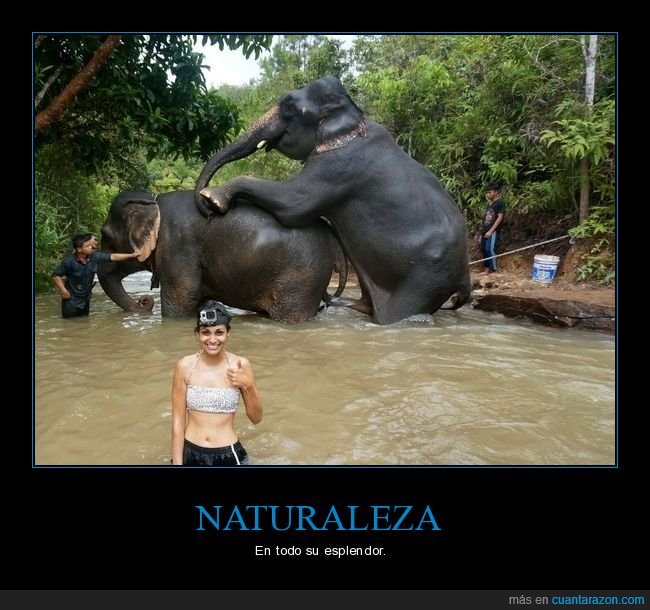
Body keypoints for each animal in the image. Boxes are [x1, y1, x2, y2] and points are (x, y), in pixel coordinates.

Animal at [97, 190, 347, 322]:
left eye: (105, 235)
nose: (145, 302)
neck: (153, 201)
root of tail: (331, 236)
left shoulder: (179, 245)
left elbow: (182, 298)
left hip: (301, 278)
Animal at [194, 76, 472, 325]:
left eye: (289, 106)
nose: (204, 209)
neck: (352, 112)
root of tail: (466, 276)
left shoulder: (339, 164)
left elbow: (295, 204)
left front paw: (213, 198)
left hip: (427, 275)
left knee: (399, 313)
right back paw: (340, 303)